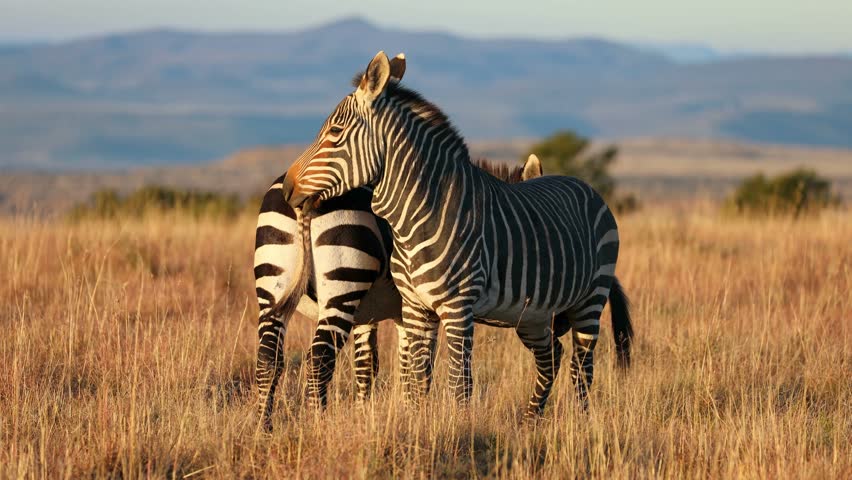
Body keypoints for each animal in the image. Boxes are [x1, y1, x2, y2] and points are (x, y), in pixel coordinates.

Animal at [280, 52, 634, 418]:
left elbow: (458, 383)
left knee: (583, 366)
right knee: (552, 357)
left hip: (590, 298)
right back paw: (532, 419)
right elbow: (418, 381)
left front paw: (460, 425)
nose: (288, 188)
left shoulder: (457, 308)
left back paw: (581, 419)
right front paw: (418, 422)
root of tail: (583, 185)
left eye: (335, 132)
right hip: (534, 315)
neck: (418, 218)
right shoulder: (416, 309)